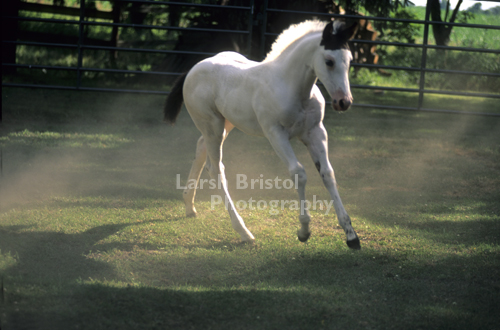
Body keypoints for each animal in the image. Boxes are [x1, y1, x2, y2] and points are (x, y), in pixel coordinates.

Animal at [166, 20, 362, 250]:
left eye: (349, 60)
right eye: (329, 61)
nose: (344, 102)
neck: (292, 87)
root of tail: (193, 69)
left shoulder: (316, 132)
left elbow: (328, 174)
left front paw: (351, 235)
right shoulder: (276, 134)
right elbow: (299, 173)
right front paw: (304, 231)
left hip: (225, 124)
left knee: (200, 147)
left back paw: (189, 205)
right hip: (212, 126)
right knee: (215, 168)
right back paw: (244, 232)